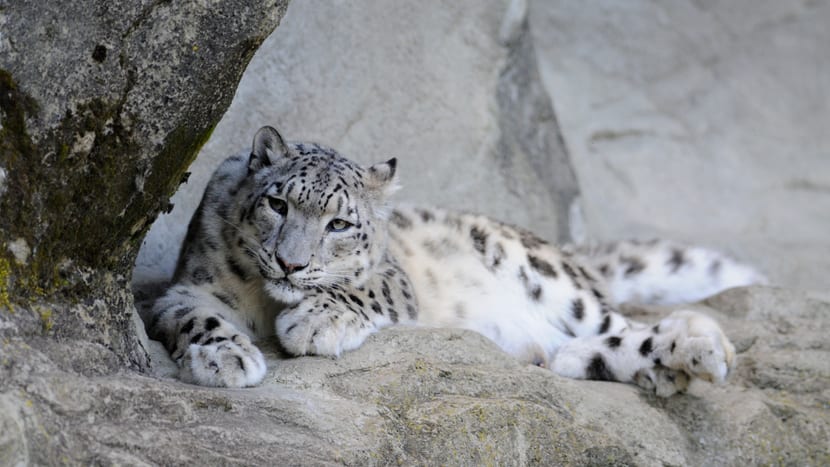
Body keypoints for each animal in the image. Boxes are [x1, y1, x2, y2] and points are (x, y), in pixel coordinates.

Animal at [141, 125, 768, 394]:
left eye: (339, 224)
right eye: (277, 203)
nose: (291, 265)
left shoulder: (393, 281)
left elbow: (358, 289)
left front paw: (312, 321)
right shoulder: (186, 288)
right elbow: (199, 317)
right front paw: (225, 358)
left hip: (549, 278)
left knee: (625, 322)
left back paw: (701, 349)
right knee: (587, 349)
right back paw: (662, 368)